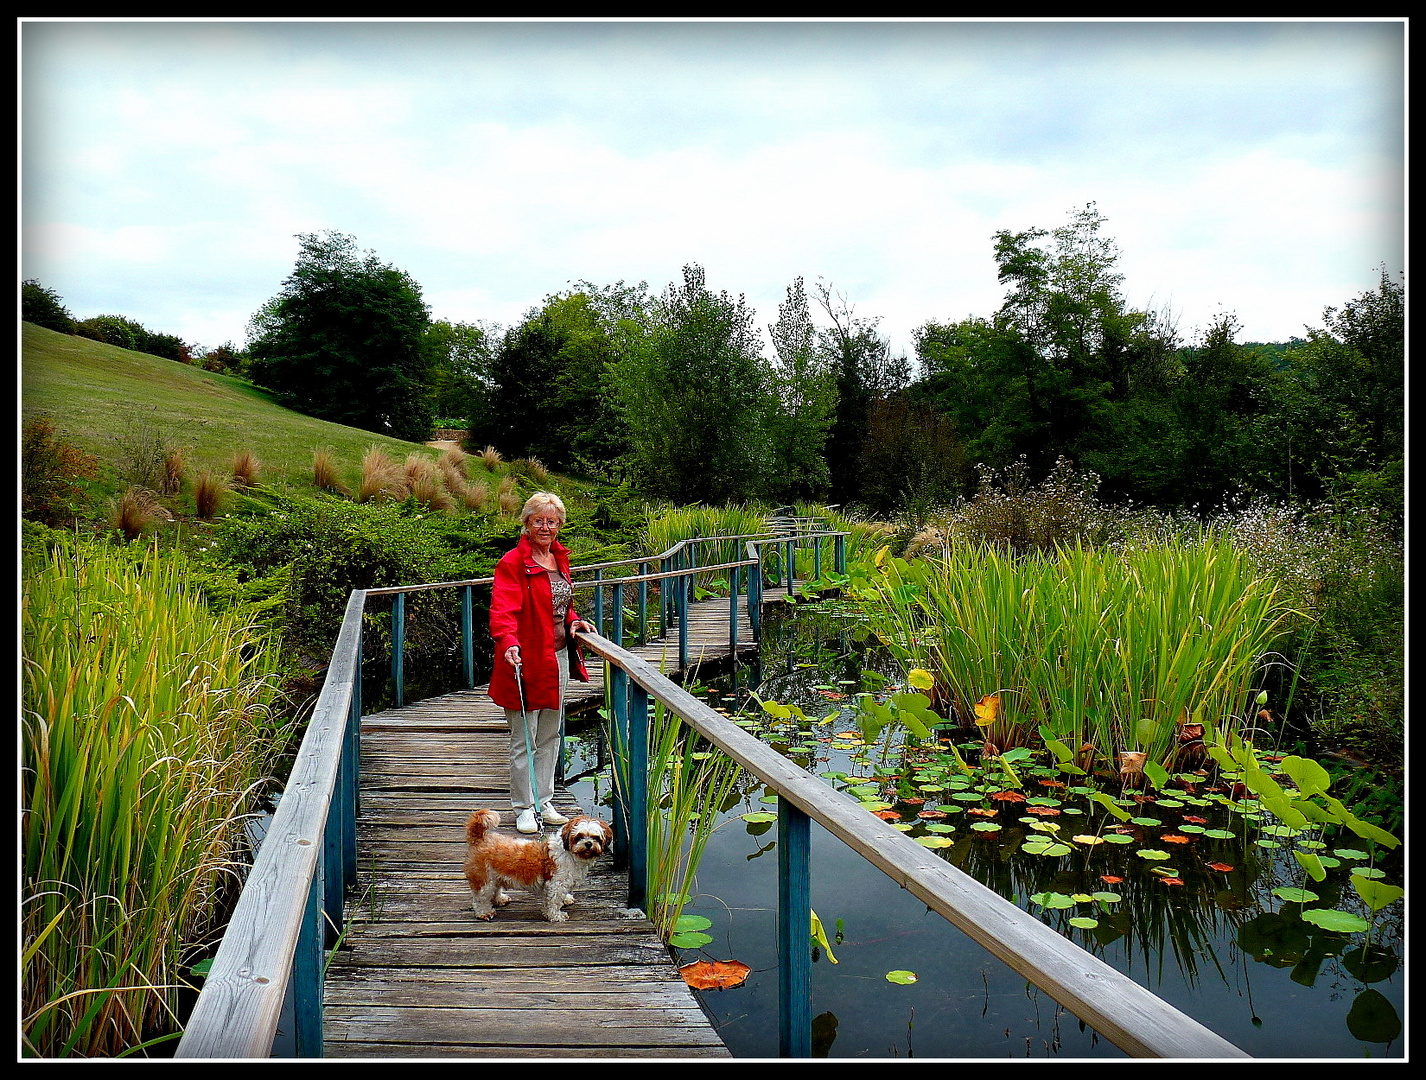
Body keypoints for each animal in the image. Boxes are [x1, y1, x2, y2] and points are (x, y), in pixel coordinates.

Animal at [459, 810, 610, 918]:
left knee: (495, 890)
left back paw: (500, 899)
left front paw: (566, 899)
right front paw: (556, 916)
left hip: (494, 877)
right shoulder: (555, 884)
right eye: (579, 837)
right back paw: (484, 912)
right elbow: (554, 901)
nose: (588, 843)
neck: (569, 853)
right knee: (481, 898)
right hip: (484, 880)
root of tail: (480, 838)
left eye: (596, 837)